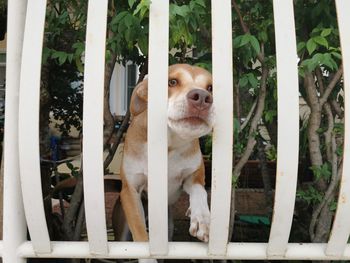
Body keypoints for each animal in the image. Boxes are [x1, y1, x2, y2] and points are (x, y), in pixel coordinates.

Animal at [116, 64, 212, 262]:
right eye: (172, 82)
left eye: (210, 87)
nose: (203, 98)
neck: (168, 144)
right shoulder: (131, 191)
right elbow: (141, 237)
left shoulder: (192, 177)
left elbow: (199, 191)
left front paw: (202, 219)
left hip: (168, 228)